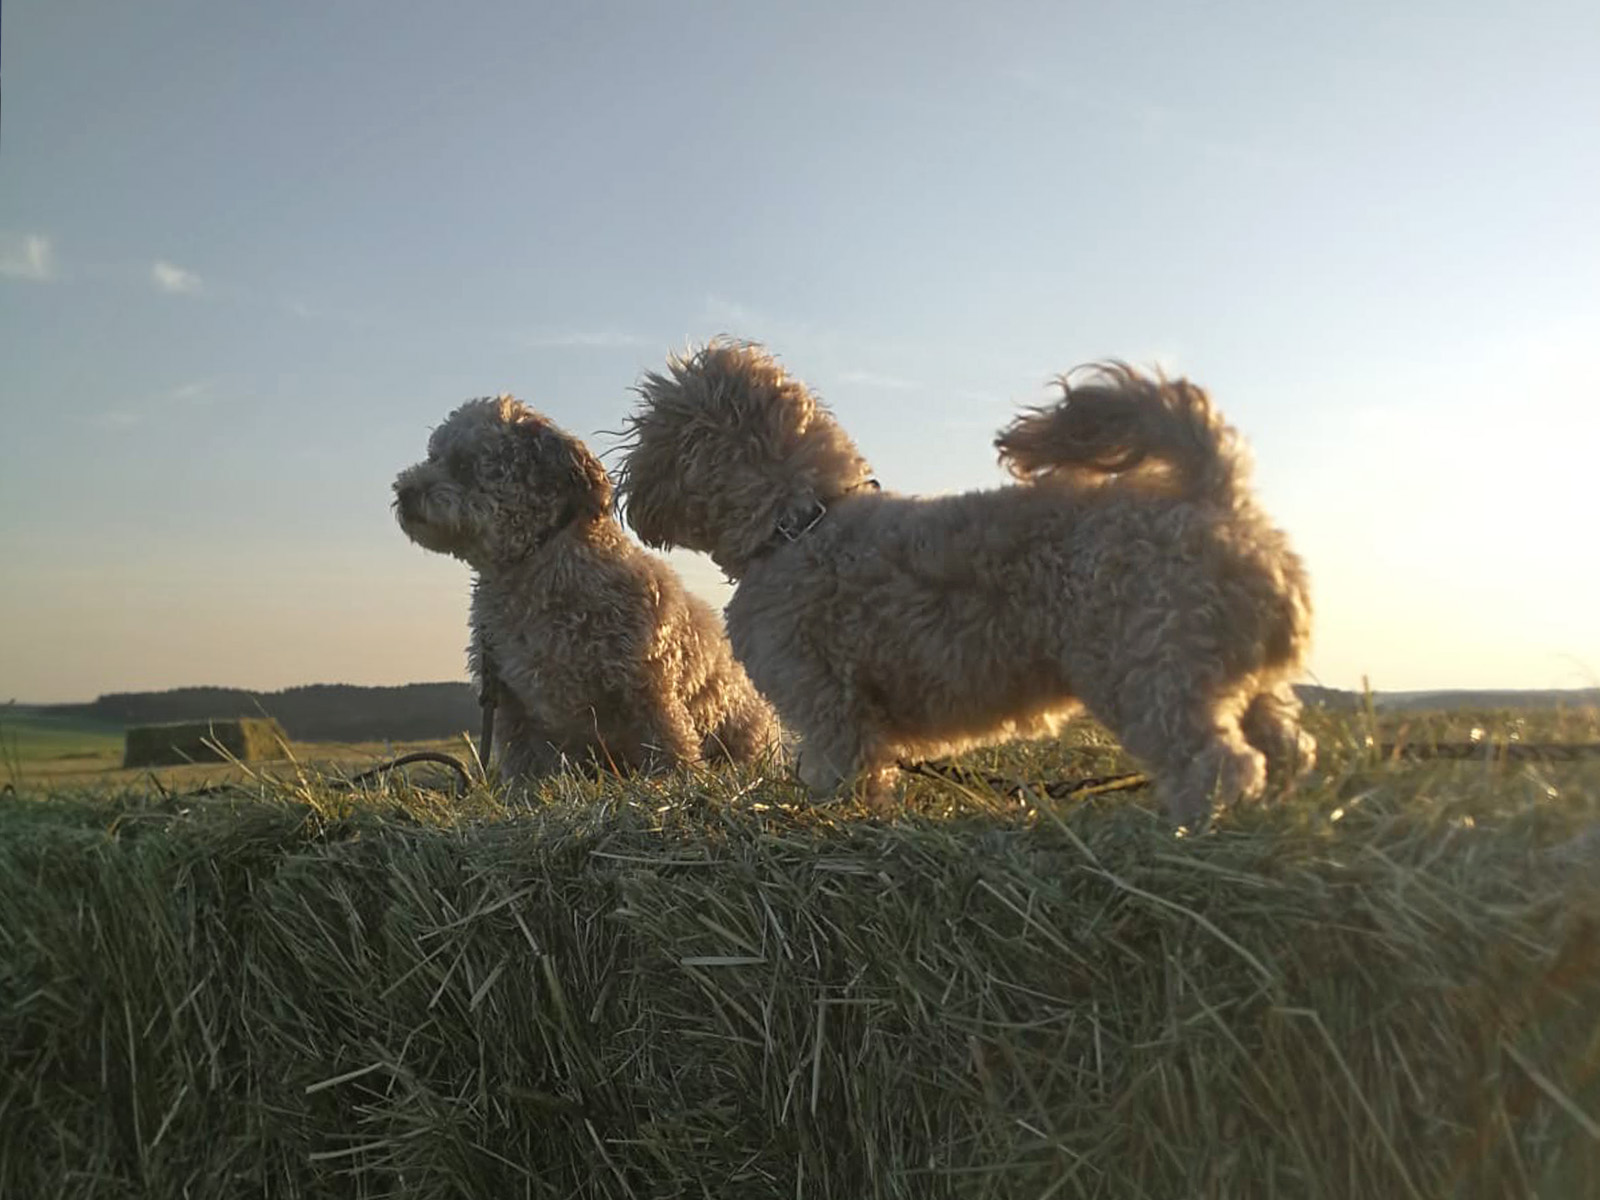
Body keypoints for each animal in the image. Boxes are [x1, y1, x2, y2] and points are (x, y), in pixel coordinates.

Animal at [396, 400, 777, 784]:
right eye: (433, 456)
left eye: (463, 464)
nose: (403, 492)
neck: (534, 563)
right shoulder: (510, 701)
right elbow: (523, 766)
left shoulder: (647, 686)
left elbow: (669, 744)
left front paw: (675, 782)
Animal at [611, 339, 1312, 825]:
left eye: (651, 429)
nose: (622, 488)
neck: (800, 523)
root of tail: (1215, 496)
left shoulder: (829, 704)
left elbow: (845, 776)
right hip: (1230, 675)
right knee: (1287, 747)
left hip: (1153, 672)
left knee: (1218, 761)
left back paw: (1188, 829)